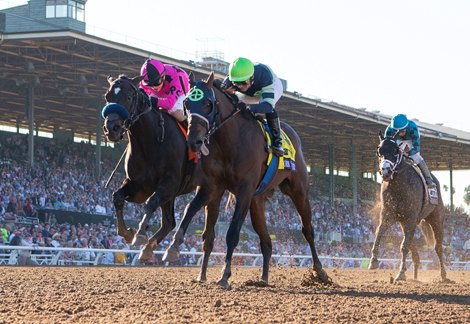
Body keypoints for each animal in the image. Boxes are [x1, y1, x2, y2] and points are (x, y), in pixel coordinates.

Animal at [103, 74, 202, 260]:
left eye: (128, 97)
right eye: (107, 97)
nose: (111, 128)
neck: (151, 141)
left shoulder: (169, 183)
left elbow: (150, 203)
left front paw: (141, 234)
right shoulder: (138, 184)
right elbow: (117, 197)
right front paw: (127, 233)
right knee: (169, 222)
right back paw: (150, 249)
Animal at [163, 72, 332, 288]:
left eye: (208, 103)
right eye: (186, 103)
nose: (194, 141)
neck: (229, 141)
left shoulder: (244, 190)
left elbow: (233, 232)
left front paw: (224, 275)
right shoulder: (212, 187)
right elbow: (195, 216)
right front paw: (176, 250)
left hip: (298, 191)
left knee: (308, 230)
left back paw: (320, 271)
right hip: (257, 201)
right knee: (266, 241)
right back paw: (263, 279)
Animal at [370, 133, 446, 282]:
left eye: (395, 151)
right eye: (378, 151)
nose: (386, 171)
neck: (399, 186)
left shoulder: (410, 218)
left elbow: (404, 247)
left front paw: (401, 274)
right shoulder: (388, 215)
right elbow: (378, 233)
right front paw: (373, 261)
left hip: (435, 218)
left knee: (438, 247)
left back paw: (443, 275)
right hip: (407, 223)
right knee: (414, 249)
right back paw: (415, 276)